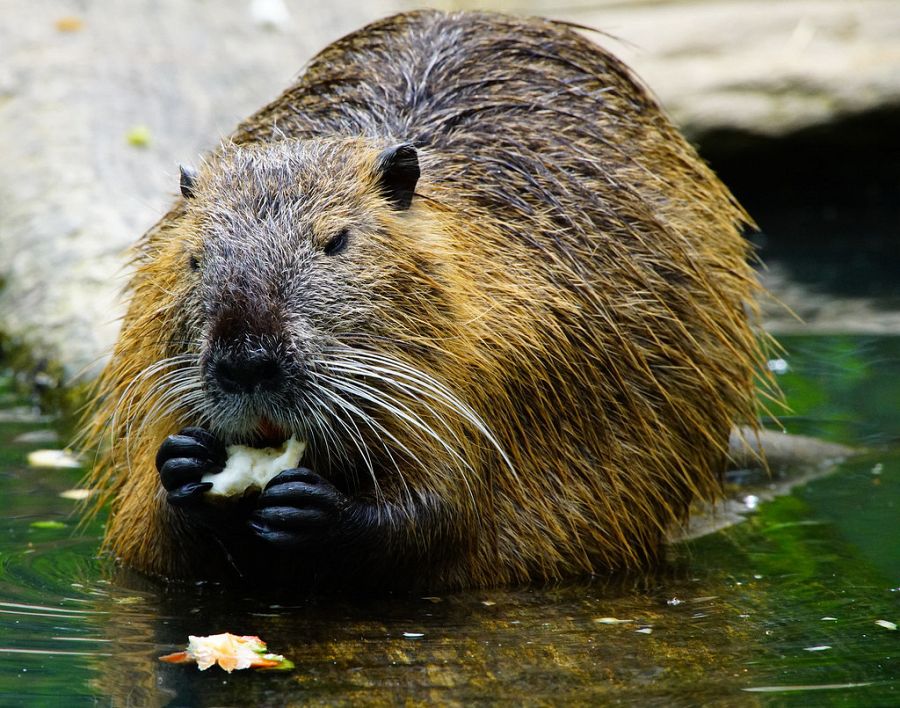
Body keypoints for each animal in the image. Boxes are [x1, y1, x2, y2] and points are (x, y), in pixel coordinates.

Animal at [84, 11, 768, 588]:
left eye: (336, 240)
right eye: (195, 255)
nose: (245, 363)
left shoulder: (513, 357)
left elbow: (450, 511)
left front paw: (312, 508)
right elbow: (146, 541)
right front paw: (182, 465)